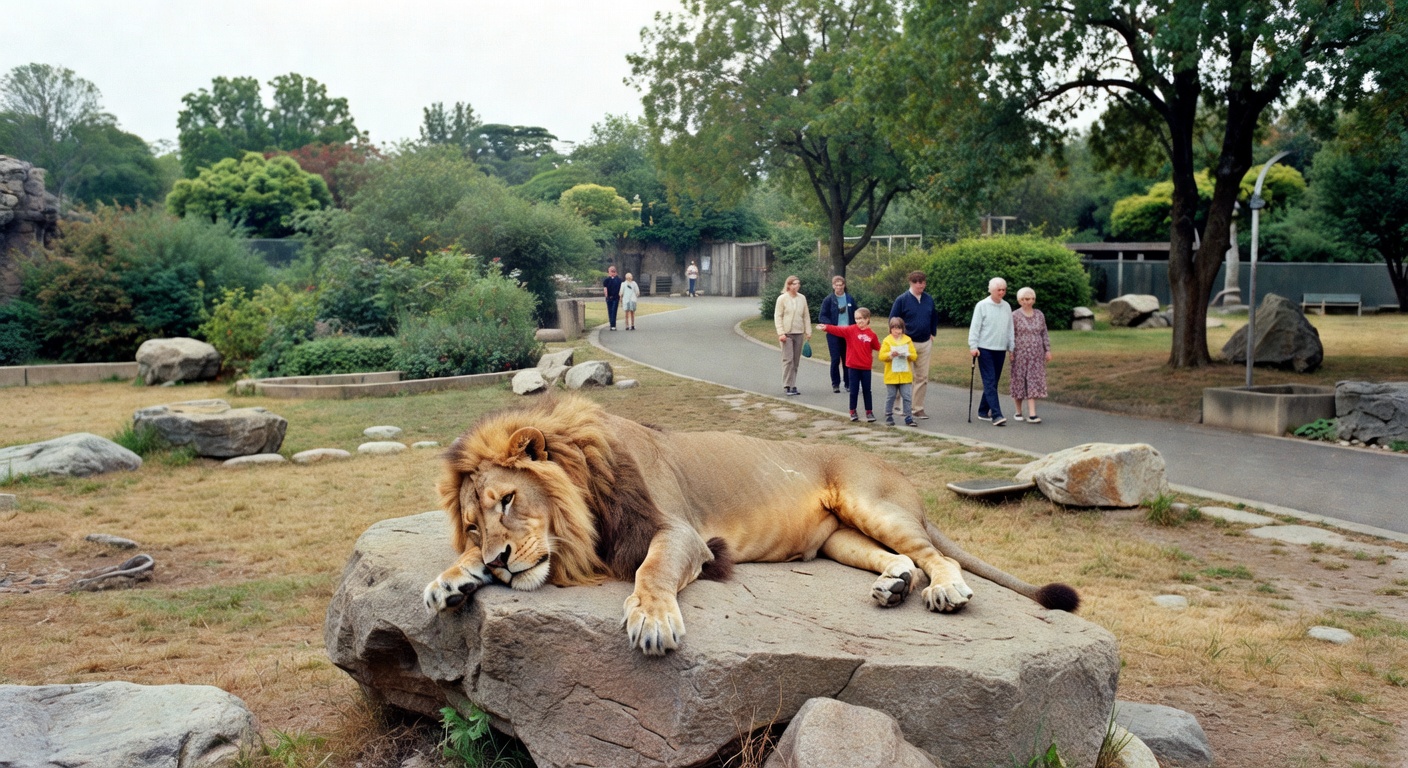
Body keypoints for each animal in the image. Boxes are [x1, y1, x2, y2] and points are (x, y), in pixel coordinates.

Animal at [423, 394, 1077, 655]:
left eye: (508, 500)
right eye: (474, 527)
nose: (500, 562)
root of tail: (895, 470)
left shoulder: (682, 534)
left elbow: (651, 570)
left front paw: (652, 621)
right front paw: (451, 579)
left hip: (871, 503)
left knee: (936, 556)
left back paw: (946, 591)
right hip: (840, 538)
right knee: (901, 561)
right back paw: (893, 587)